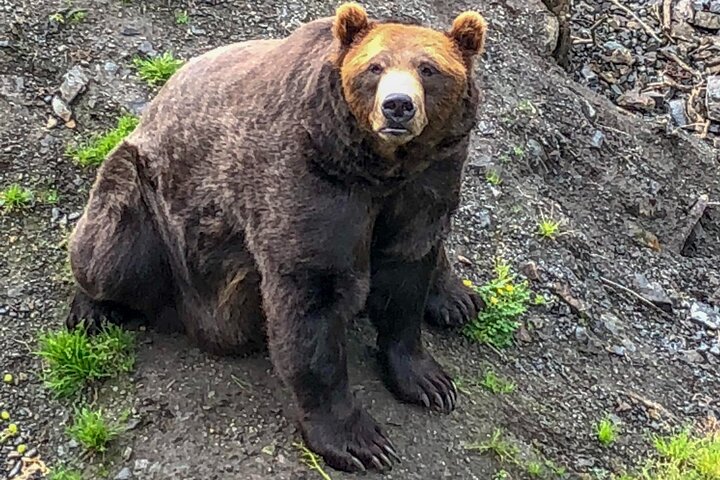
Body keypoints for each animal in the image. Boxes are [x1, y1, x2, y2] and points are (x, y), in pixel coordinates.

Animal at [64, 2, 488, 473]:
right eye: (374, 67)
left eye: (428, 69)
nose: (398, 106)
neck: (382, 168)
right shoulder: (310, 178)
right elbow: (311, 299)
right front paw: (359, 441)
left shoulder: (429, 181)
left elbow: (407, 271)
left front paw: (429, 382)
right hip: (146, 198)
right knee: (109, 253)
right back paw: (92, 308)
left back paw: (455, 297)